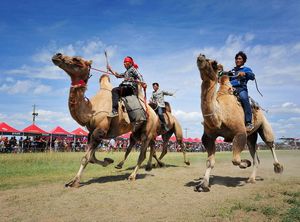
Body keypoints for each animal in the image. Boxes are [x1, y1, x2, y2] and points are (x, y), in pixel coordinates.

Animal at [51, 53, 159, 186]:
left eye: (77, 59)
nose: (57, 55)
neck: (91, 111)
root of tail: (154, 113)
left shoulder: (100, 131)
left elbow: (85, 158)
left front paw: (74, 182)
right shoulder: (92, 132)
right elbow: (91, 158)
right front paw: (108, 160)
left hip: (147, 132)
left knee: (142, 153)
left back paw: (132, 175)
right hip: (137, 131)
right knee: (147, 144)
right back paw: (146, 167)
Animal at [196, 53, 282, 192]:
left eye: (214, 63)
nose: (201, 56)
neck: (220, 115)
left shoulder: (240, 132)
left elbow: (235, 160)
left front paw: (245, 163)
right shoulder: (209, 137)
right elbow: (210, 162)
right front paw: (203, 185)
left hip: (263, 125)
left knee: (270, 143)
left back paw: (278, 167)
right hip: (251, 136)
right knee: (255, 155)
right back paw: (251, 179)